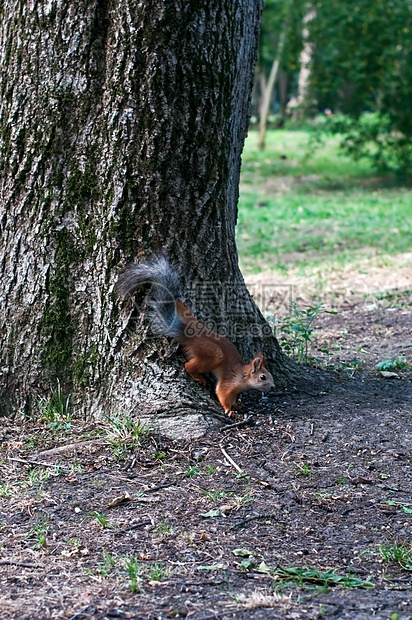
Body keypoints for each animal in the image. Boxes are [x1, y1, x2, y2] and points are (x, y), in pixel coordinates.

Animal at [115, 254, 274, 414]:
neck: (243, 375)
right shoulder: (230, 381)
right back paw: (199, 378)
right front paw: (229, 409)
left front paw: (238, 404)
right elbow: (222, 393)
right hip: (212, 353)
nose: (273, 387)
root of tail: (190, 333)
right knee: (188, 366)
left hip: (188, 316)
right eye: (263, 377)